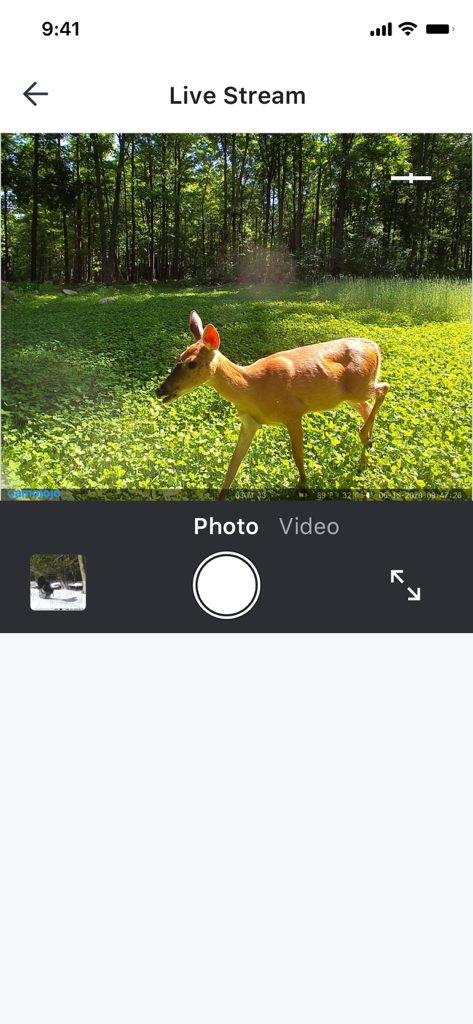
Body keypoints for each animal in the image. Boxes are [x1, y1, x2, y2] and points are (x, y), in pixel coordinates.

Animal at [156, 311, 389, 499]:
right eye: (179, 357)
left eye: (191, 363)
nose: (161, 390)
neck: (253, 388)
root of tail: (375, 346)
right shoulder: (250, 421)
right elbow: (232, 466)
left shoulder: (293, 413)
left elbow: (297, 455)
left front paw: (307, 490)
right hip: (350, 397)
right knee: (367, 408)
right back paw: (364, 459)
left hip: (361, 386)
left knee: (384, 388)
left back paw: (364, 439)